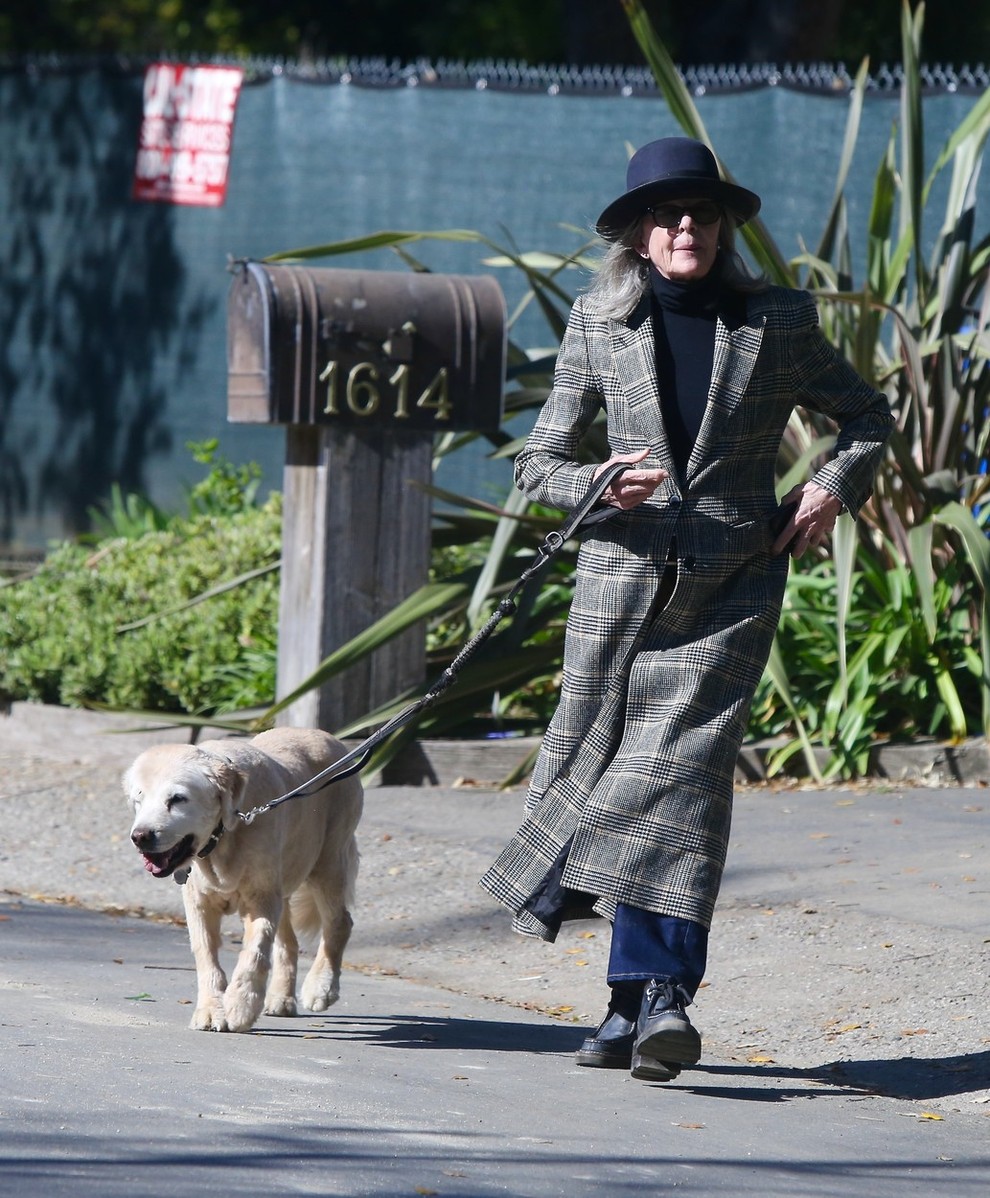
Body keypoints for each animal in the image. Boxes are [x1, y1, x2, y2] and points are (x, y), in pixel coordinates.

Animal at [125, 723, 359, 1035]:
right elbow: (206, 956)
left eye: (177, 799)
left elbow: (255, 951)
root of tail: (328, 737)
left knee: (339, 922)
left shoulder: (261, 898)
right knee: (289, 941)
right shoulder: (199, 903)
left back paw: (321, 986)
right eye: (138, 800)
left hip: (327, 862)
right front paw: (211, 1009)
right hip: (285, 882)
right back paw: (281, 997)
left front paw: (240, 1005)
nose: (140, 836)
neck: (223, 837)